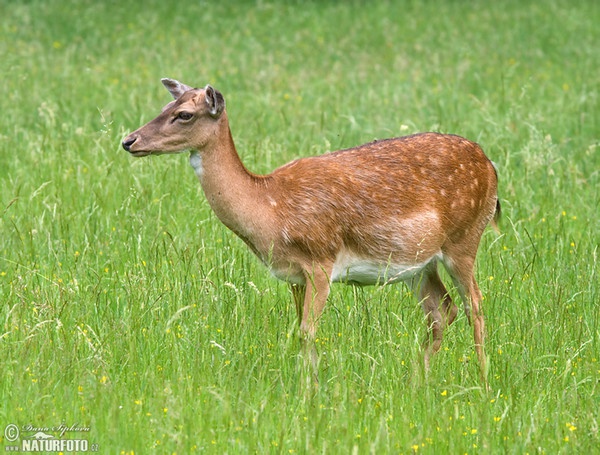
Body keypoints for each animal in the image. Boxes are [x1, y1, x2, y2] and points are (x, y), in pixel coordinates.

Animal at [120, 78, 496, 382]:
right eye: (164, 106)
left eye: (184, 114)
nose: (129, 140)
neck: (270, 210)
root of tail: (491, 167)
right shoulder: (294, 275)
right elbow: (296, 331)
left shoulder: (321, 261)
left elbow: (306, 332)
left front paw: (309, 394)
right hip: (417, 266)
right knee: (441, 311)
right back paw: (419, 381)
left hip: (464, 239)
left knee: (474, 304)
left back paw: (482, 380)